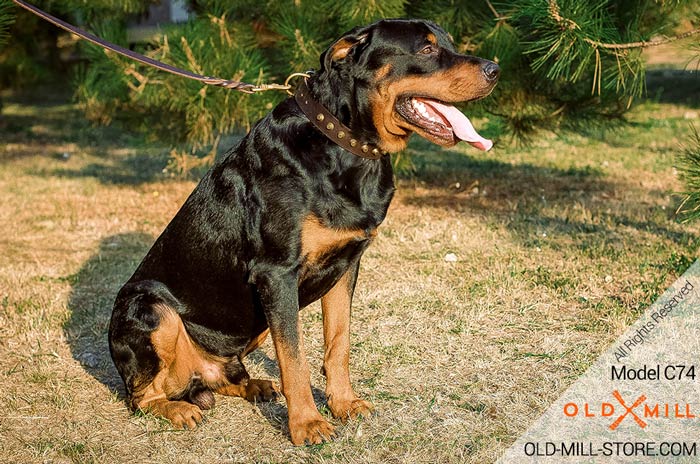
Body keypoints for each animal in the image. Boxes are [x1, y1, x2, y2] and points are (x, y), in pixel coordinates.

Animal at [108, 19, 498, 446]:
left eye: (449, 44)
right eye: (426, 50)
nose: (495, 69)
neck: (345, 147)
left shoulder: (346, 266)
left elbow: (338, 342)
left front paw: (344, 403)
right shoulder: (276, 275)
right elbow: (294, 359)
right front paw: (308, 424)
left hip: (253, 329)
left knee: (224, 376)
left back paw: (254, 386)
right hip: (150, 308)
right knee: (139, 396)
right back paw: (178, 410)